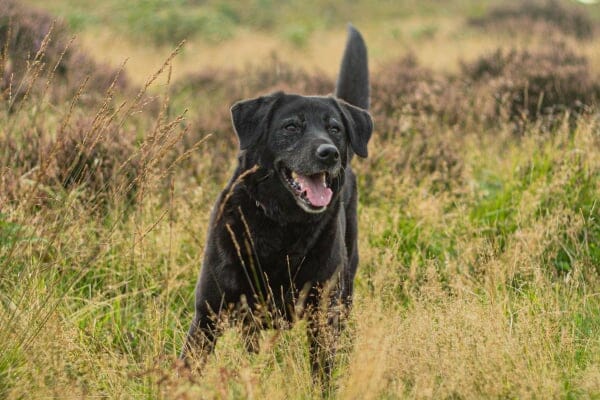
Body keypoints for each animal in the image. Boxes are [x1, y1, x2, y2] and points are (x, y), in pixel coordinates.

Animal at [180, 25, 372, 384]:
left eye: (335, 129)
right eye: (291, 126)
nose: (329, 153)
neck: (281, 226)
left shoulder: (322, 316)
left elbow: (322, 375)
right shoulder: (208, 313)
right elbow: (187, 367)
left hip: (344, 293)